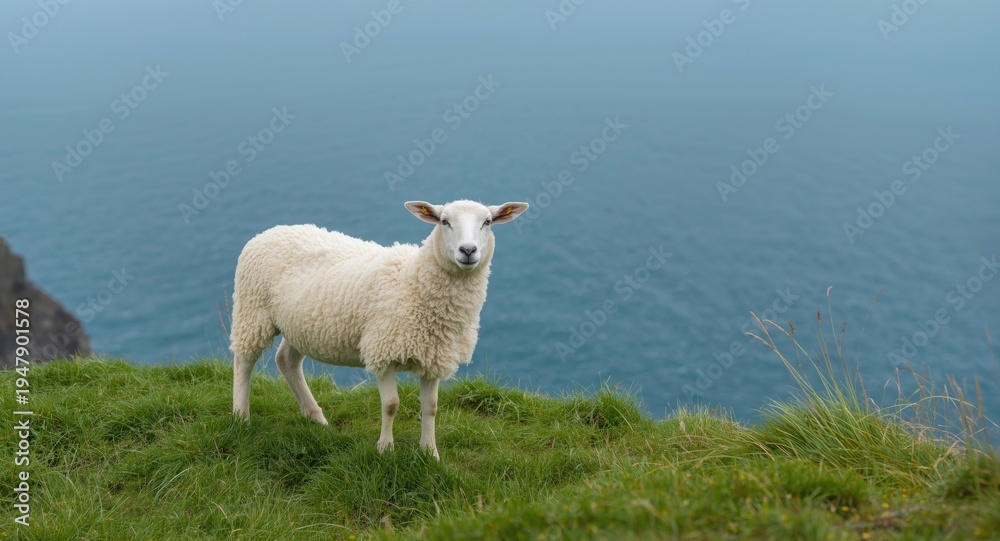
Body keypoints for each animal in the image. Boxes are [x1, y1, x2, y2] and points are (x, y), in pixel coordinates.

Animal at [229, 199, 528, 459]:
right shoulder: (383, 351)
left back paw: (315, 416)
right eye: (444, 221)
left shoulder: (434, 356)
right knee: (244, 361)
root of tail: (269, 231)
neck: (415, 282)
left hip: (298, 324)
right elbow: (391, 405)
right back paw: (241, 416)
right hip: (252, 311)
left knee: (287, 361)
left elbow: (431, 408)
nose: (468, 251)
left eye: (487, 222)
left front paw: (430, 453)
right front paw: (385, 449)